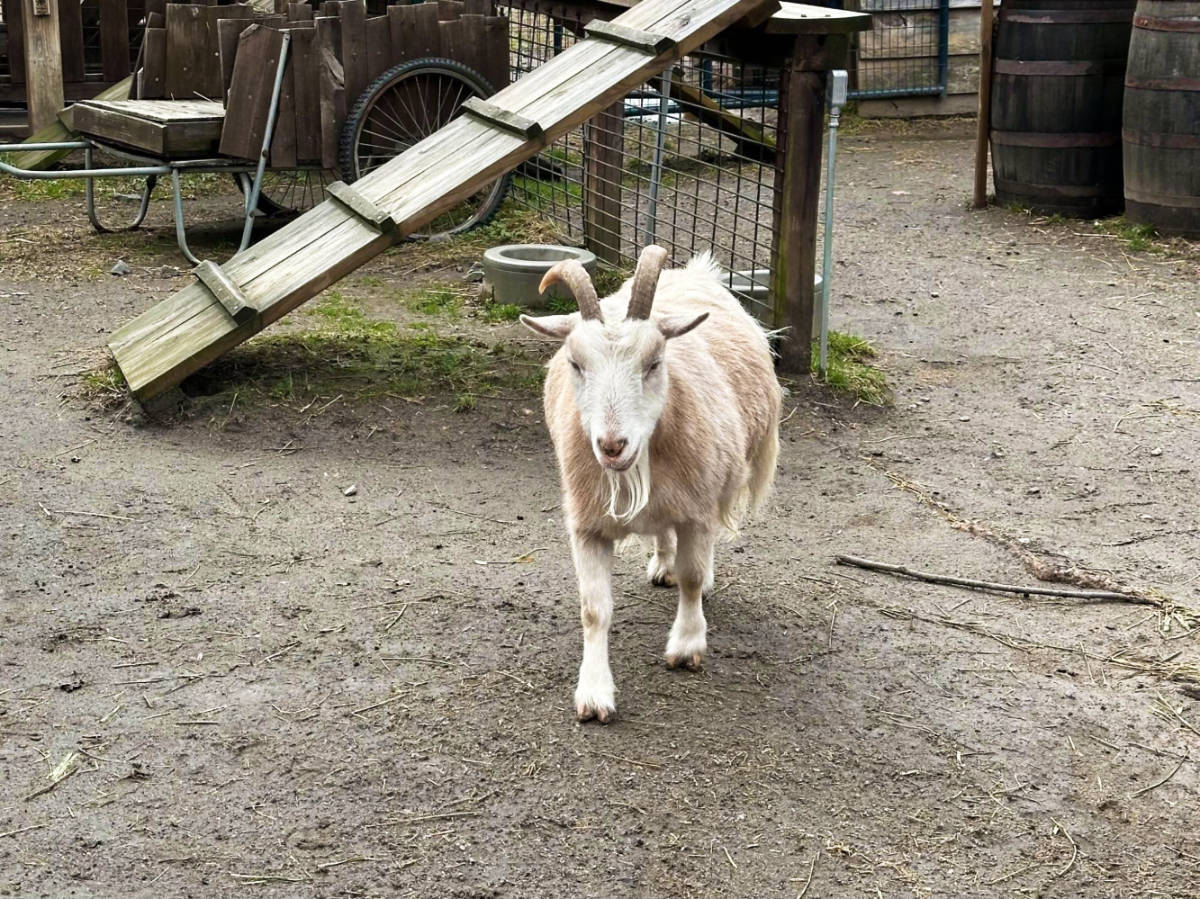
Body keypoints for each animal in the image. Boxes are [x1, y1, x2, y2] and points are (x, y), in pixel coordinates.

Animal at [521, 245, 782, 722]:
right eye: (575, 363)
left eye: (655, 362)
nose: (612, 445)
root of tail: (693, 271)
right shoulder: (587, 525)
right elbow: (594, 610)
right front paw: (594, 694)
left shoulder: (697, 509)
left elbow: (692, 578)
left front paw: (686, 645)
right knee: (662, 531)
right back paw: (662, 563)